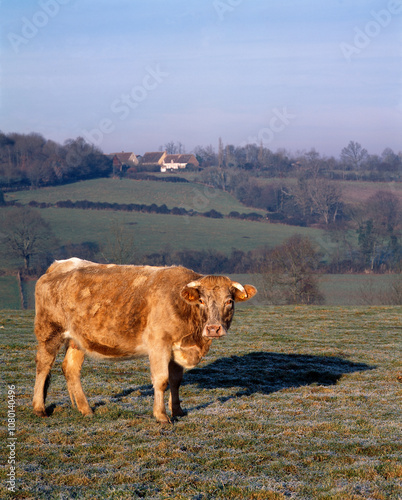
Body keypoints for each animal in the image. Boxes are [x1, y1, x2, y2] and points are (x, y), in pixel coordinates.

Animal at [32, 260, 258, 424]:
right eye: (201, 300)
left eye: (229, 301)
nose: (213, 328)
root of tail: (58, 265)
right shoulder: (159, 344)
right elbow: (162, 380)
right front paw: (162, 416)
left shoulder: (177, 348)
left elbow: (176, 380)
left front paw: (177, 410)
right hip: (49, 331)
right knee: (43, 365)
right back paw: (39, 408)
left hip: (77, 339)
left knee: (70, 369)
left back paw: (85, 409)